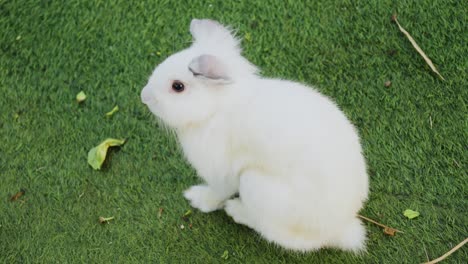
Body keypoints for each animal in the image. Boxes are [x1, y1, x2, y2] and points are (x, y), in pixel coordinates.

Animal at [141, 18, 368, 252]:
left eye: (178, 86)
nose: (144, 96)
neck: (215, 109)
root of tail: (341, 228)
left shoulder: (220, 172)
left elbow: (217, 193)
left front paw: (196, 198)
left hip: (256, 186)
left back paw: (235, 210)